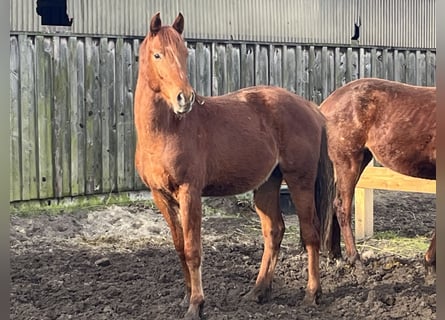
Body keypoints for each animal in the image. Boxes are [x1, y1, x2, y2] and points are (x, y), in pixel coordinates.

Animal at [134, 12, 334, 320]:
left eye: (184, 53)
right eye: (158, 54)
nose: (185, 98)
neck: (166, 131)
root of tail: (310, 108)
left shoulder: (190, 193)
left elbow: (193, 249)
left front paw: (197, 304)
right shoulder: (161, 196)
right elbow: (179, 247)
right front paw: (186, 297)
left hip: (300, 180)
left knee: (309, 232)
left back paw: (312, 295)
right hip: (267, 184)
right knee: (274, 231)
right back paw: (258, 292)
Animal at [318, 77, 436, 272]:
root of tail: (328, 102)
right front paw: (430, 262)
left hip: (358, 159)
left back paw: (336, 256)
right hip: (349, 161)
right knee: (341, 206)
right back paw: (355, 259)